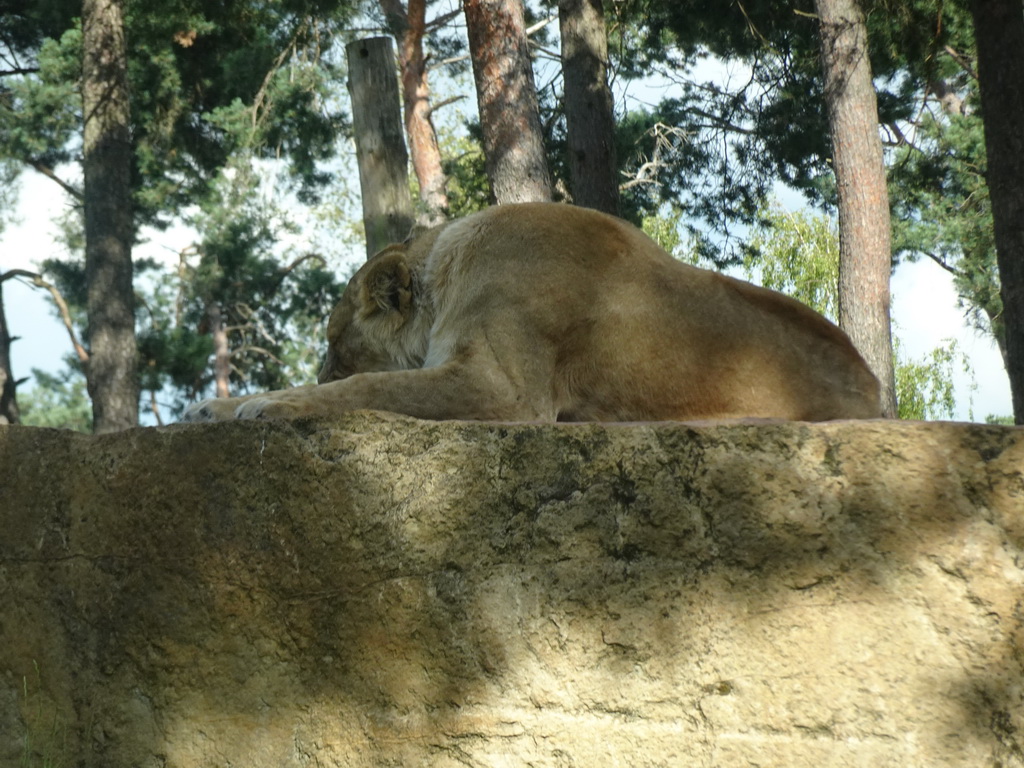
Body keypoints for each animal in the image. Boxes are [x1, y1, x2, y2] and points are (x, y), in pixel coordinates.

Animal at [182, 201, 880, 423]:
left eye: (333, 344)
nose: (321, 366)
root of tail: (875, 389)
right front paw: (220, 405)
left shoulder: (505, 391)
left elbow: (368, 388)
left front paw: (267, 403)